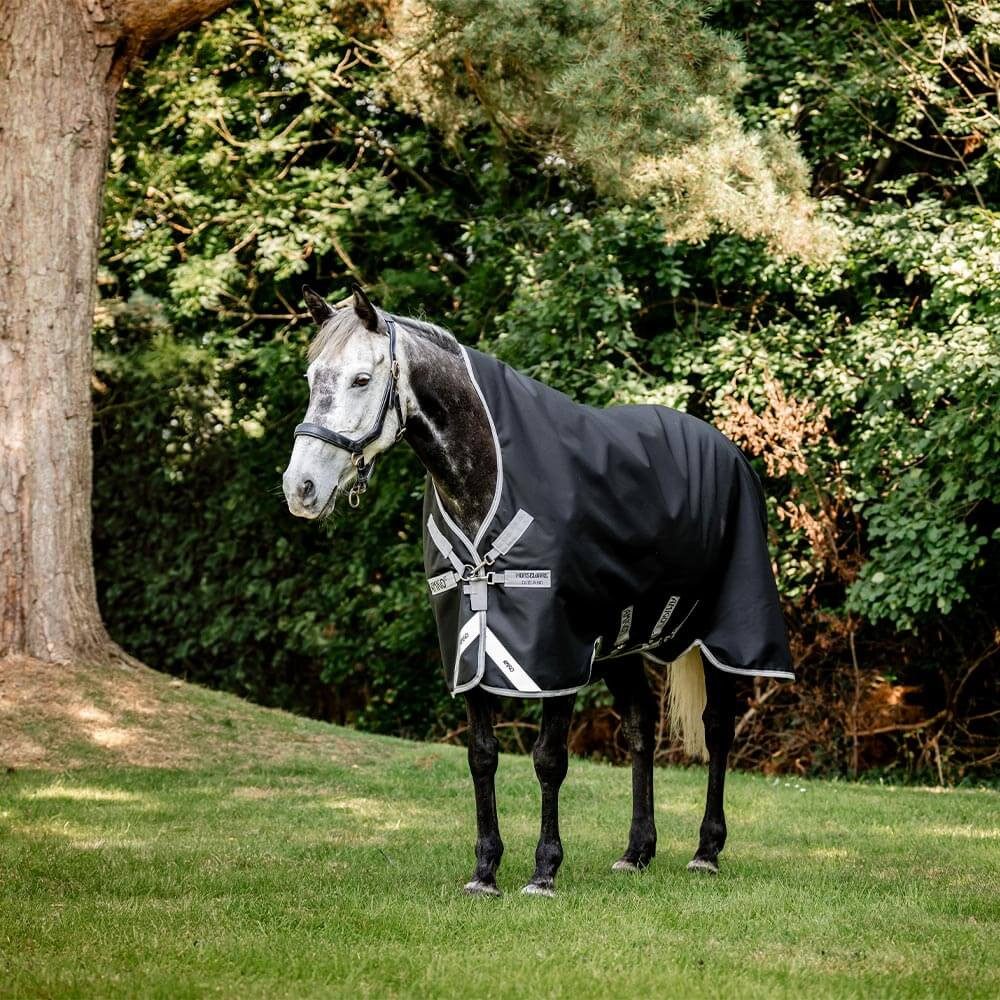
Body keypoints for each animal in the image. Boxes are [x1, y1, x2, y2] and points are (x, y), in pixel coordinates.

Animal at [283, 284, 794, 896]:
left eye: (362, 378)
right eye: (312, 377)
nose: (300, 488)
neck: (486, 478)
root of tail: (727, 449)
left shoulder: (554, 652)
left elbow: (550, 759)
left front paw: (544, 870)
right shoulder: (471, 644)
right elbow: (482, 756)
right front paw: (485, 870)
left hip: (721, 636)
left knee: (717, 730)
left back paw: (706, 850)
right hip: (620, 643)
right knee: (641, 728)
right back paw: (637, 851)